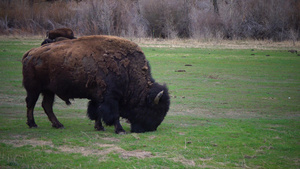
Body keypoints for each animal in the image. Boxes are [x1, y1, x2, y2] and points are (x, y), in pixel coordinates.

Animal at [22, 35, 170, 133]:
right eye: (154, 109)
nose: (151, 128)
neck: (128, 70)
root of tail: (30, 53)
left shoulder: (98, 97)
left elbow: (97, 112)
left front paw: (99, 127)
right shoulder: (110, 98)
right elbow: (113, 114)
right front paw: (120, 130)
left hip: (49, 91)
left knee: (46, 105)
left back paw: (58, 125)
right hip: (34, 89)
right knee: (31, 103)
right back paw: (33, 124)